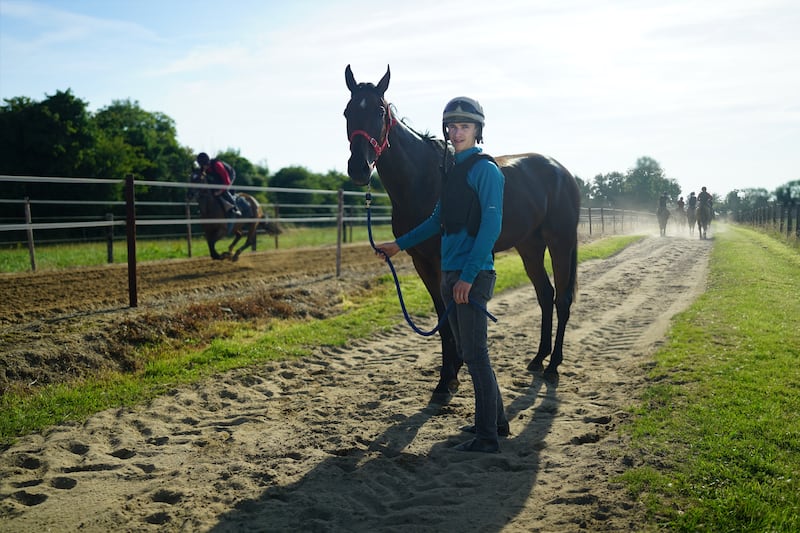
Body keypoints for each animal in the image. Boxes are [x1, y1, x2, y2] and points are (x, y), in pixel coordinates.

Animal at [342, 65, 576, 400]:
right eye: (348, 112)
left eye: (379, 111)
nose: (359, 168)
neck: (424, 178)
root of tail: (562, 171)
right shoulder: (422, 262)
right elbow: (442, 318)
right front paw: (450, 373)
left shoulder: (442, 260)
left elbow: (449, 316)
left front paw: (448, 378)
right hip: (530, 247)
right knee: (545, 294)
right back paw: (537, 358)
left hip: (560, 244)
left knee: (562, 300)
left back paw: (553, 365)